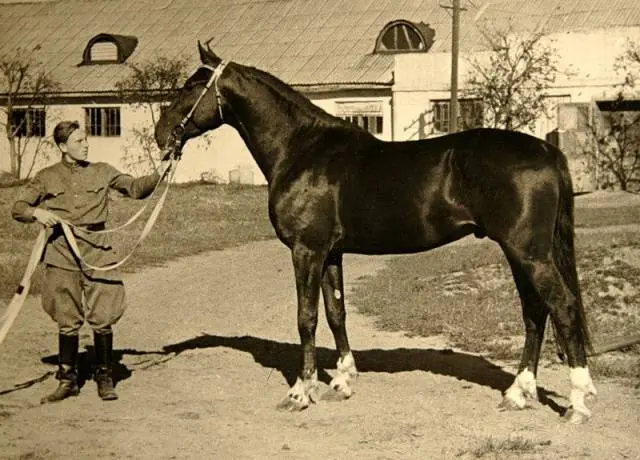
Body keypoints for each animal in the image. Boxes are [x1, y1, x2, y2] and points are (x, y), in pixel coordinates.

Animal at [158, 43, 596, 424]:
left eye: (193, 85)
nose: (162, 134)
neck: (302, 149)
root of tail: (547, 151)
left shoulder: (306, 250)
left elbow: (306, 318)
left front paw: (301, 392)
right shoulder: (330, 253)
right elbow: (335, 312)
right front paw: (342, 380)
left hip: (528, 252)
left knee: (562, 307)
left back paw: (577, 404)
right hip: (520, 252)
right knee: (535, 313)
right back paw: (518, 394)